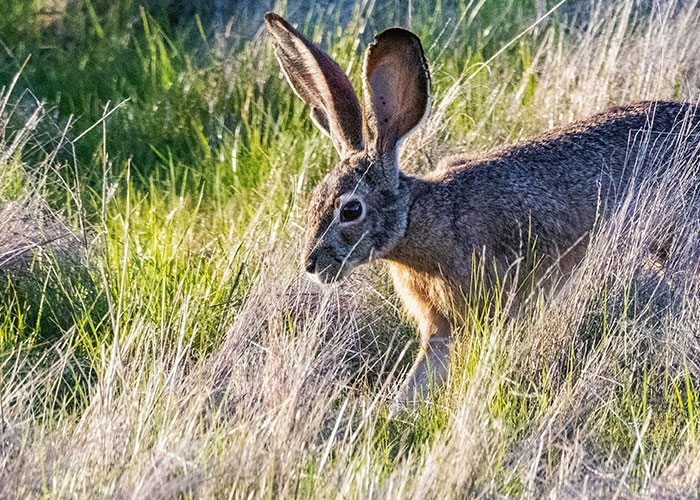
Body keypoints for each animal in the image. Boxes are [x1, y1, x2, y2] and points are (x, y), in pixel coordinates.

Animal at [264, 12, 699, 402]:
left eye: (351, 210)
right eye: (314, 201)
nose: (311, 265)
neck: (417, 220)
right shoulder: (439, 328)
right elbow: (424, 374)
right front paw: (392, 411)